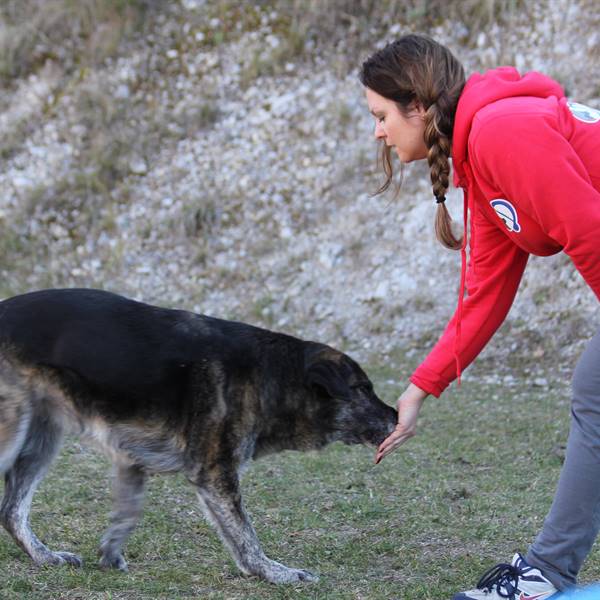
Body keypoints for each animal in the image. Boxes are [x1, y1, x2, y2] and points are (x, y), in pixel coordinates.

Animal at [0, 288, 398, 584]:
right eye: (363, 389)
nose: (397, 416)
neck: (270, 376)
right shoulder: (214, 473)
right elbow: (245, 537)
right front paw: (276, 573)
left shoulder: (131, 462)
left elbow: (126, 515)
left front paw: (110, 557)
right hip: (13, 433)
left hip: (41, 439)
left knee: (12, 510)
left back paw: (45, 556)